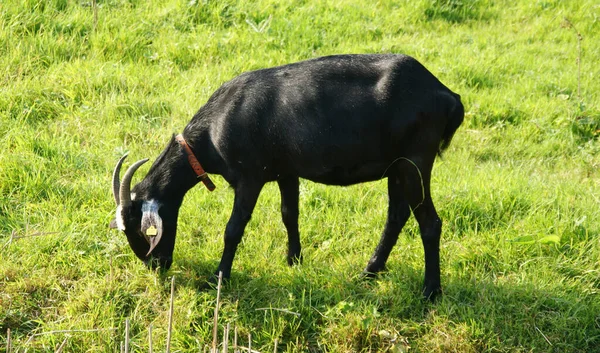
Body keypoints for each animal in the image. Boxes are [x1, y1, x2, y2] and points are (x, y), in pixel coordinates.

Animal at [111, 53, 464, 298]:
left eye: (141, 230)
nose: (156, 265)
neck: (212, 132)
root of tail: (447, 96)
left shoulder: (249, 178)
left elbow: (233, 229)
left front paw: (219, 277)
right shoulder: (286, 171)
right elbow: (289, 213)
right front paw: (294, 259)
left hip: (415, 161)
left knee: (430, 223)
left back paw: (430, 291)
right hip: (397, 167)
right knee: (397, 216)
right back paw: (370, 272)